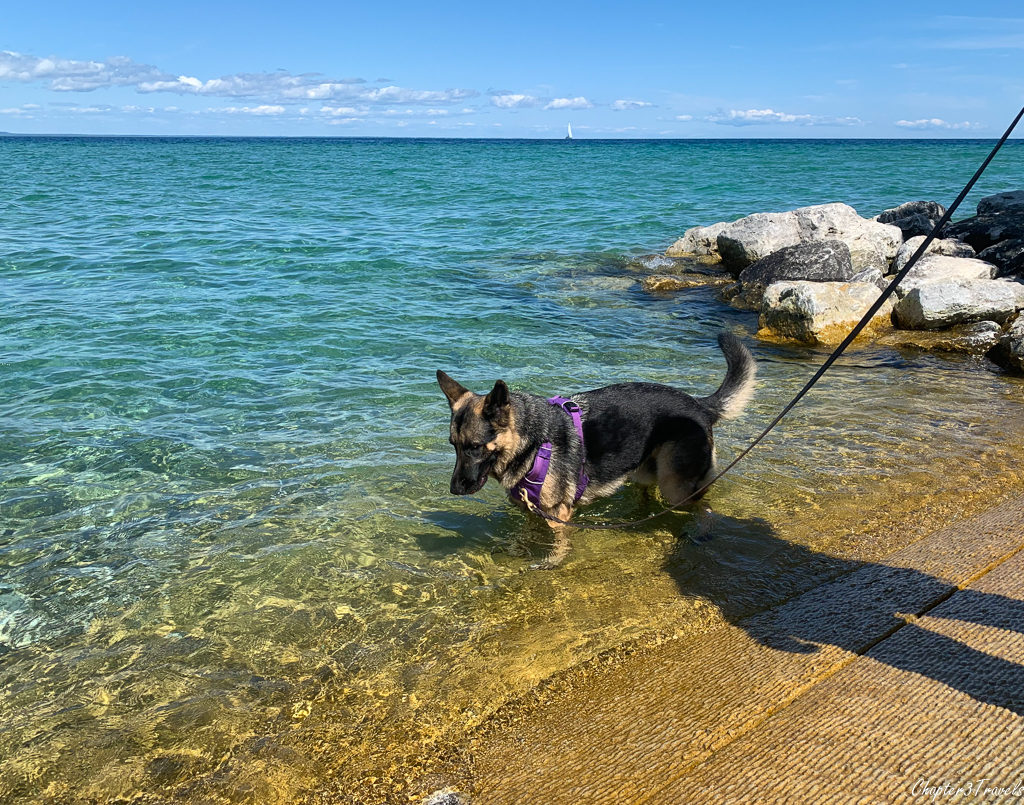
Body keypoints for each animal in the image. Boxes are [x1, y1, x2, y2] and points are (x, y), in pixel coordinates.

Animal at [436, 329, 757, 569]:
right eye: (454, 446)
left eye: (475, 447)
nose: (454, 489)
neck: (534, 443)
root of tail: (701, 405)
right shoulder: (533, 512)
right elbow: (527, 537)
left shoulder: (559, 515)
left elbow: (557, 546)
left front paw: (552, 563)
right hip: (644, 473)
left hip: (676, 487)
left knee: (705, 506)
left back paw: (700, 533)